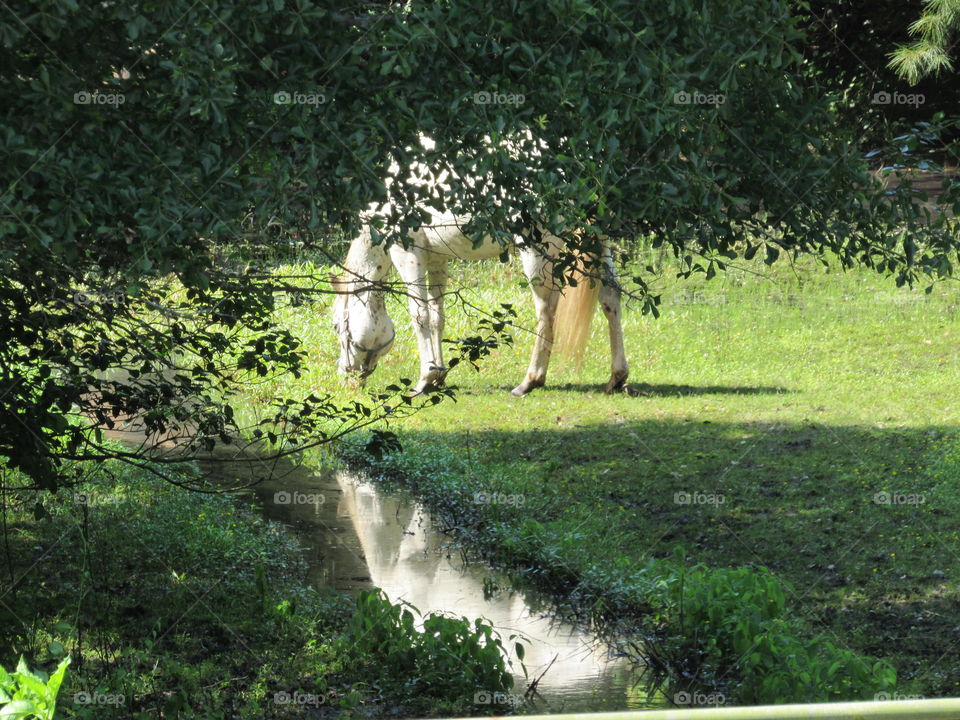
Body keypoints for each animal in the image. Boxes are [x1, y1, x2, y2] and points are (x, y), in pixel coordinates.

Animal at [330, 207, 629, 396]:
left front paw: (425, 380)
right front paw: (439, 375)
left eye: (336, 326)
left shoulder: (407, 250)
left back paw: (530, 381)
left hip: (538, 251)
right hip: (598, 242)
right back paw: (617, 378)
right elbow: (437, 316)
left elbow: (420, 314)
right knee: (611, 298)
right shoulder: (437, 256)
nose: (345, 375)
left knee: (546, 311)